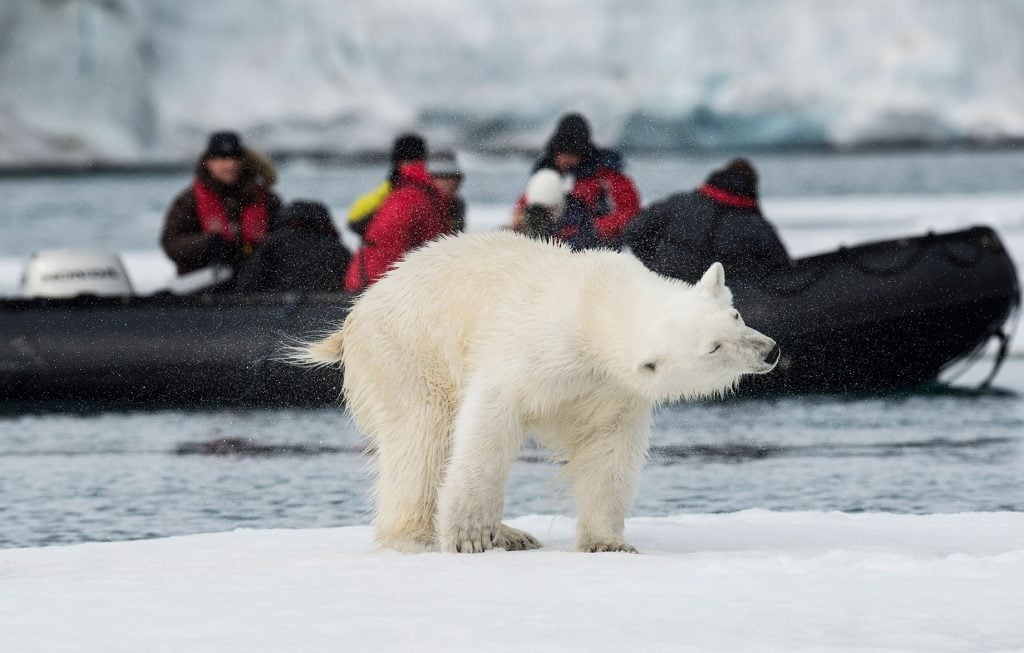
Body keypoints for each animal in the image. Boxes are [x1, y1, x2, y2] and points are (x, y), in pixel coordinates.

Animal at [299, 231, 778, 553]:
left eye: (735, 316)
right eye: (713, 347)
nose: (769, 351)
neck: (593, 305)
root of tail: (356, 312)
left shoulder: (610, 388)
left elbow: (609, 452)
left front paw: (608, 543)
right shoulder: (533, 350)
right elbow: (487, 425)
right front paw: (469, 535)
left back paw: (514, 535)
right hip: (408, 351)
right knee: (423, 437)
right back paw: (420, 535)